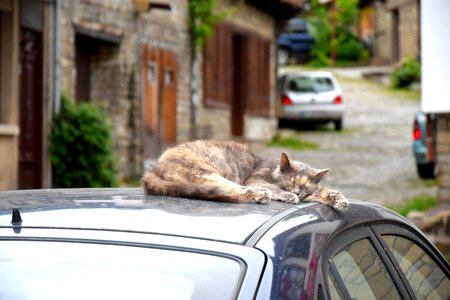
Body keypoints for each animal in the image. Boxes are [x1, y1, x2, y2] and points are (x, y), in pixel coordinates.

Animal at [142, 139, 350, 210]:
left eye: (304, 186)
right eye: (290, 181)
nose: (297, 192)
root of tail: (152, 171)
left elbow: (320, 191)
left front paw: (336, 198)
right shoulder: (255, 178)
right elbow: (274, 187)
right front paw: (288, 195)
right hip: (207, 172)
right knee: (231, 190)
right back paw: (260, 195)